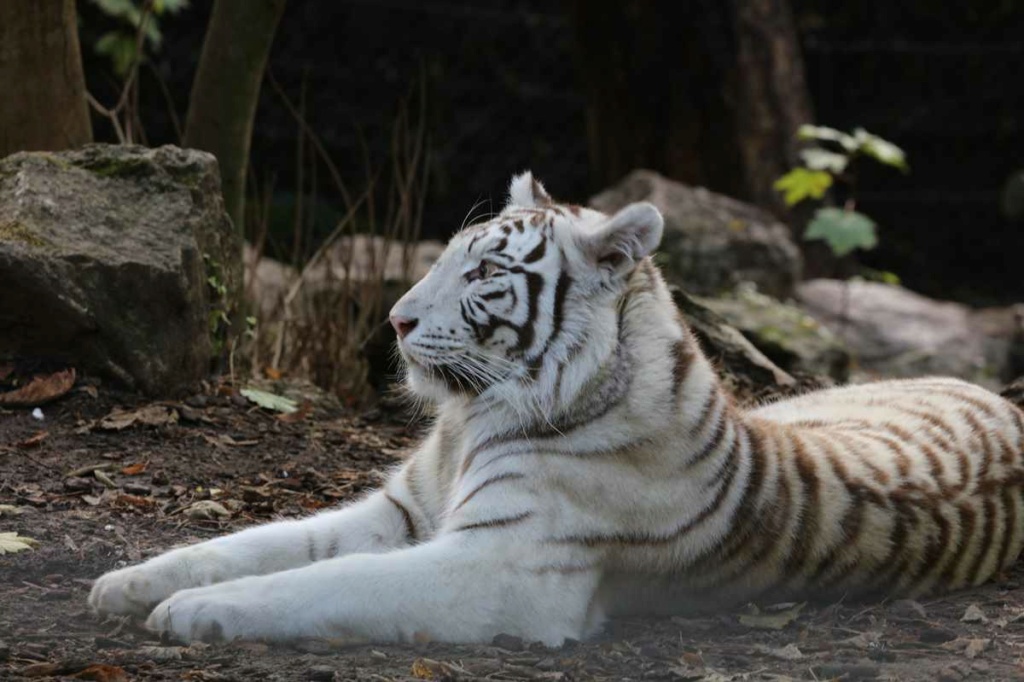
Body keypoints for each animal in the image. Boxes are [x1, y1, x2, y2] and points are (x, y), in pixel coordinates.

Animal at [90, 171, 1024, 643]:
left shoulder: (502, 568)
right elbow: (256, 543)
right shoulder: (400, 511)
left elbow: (322, 580)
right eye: (450, 255)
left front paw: (196, 615)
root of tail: (995, 394)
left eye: (484, 273)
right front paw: (127, 583)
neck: (470, 420)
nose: (395, 319)